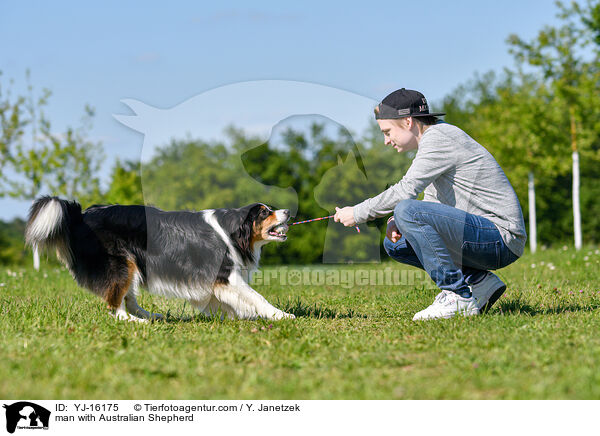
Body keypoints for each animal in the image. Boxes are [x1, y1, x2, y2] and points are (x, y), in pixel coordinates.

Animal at [25, 196, 292, 322]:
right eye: (265, 213)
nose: (288, 211)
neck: (233, 230)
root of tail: (80, 216)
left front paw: (239, 316)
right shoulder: (226, 275)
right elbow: (256, 297)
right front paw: (280, 316)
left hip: (132, 263)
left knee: (128, 297)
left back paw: (151, 316)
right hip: (120, 263)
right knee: (115, 303)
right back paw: (134, 321)